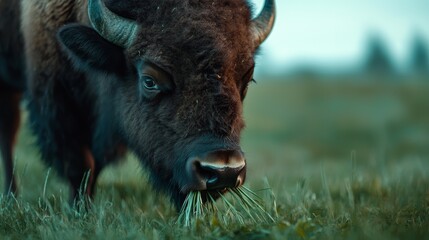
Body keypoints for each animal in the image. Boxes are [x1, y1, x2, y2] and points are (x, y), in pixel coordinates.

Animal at [0, 0, 274, 208]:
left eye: (247, 79)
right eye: (149, 80)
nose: (224, 170)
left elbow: (94, 166)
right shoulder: (56, 105)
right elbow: (81, 166)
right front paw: (80, 212)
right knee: (9, 136)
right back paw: (11, 198)